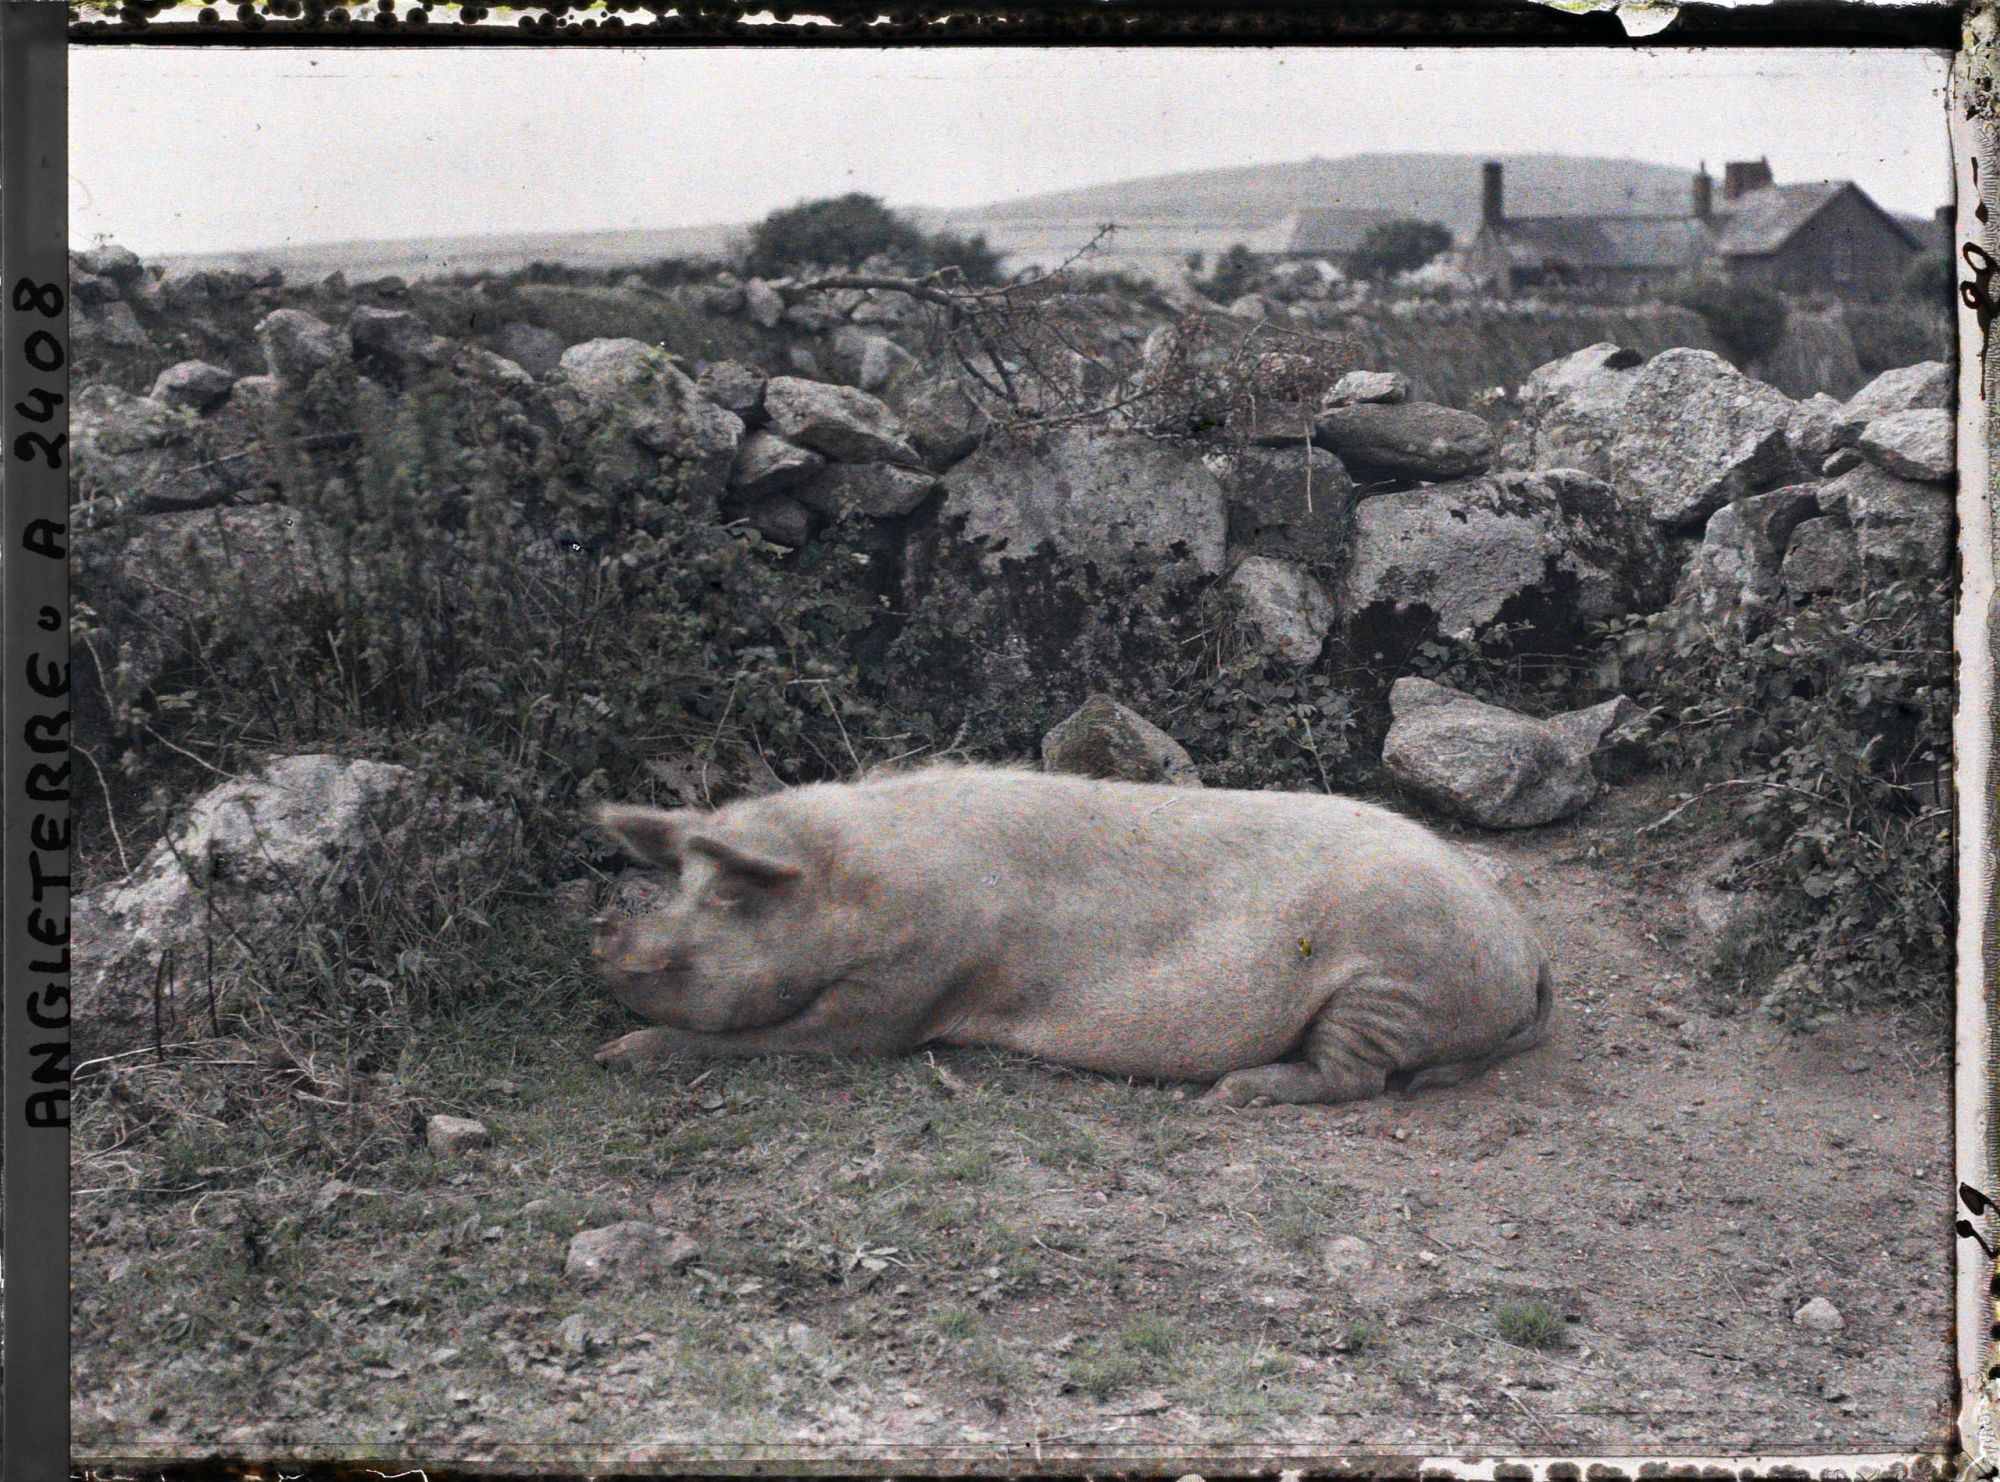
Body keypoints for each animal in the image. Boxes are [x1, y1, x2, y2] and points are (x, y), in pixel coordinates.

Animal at [589, 763, 1553, 1107]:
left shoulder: (911, 985)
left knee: (1357, 1080)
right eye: (681, 882)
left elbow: (809, 1038)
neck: (863, 887)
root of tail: (1523, 943)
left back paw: (1232, 1093)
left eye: (730, 895)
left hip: (1392, 981)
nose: (611, 949)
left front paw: (618, 1056)